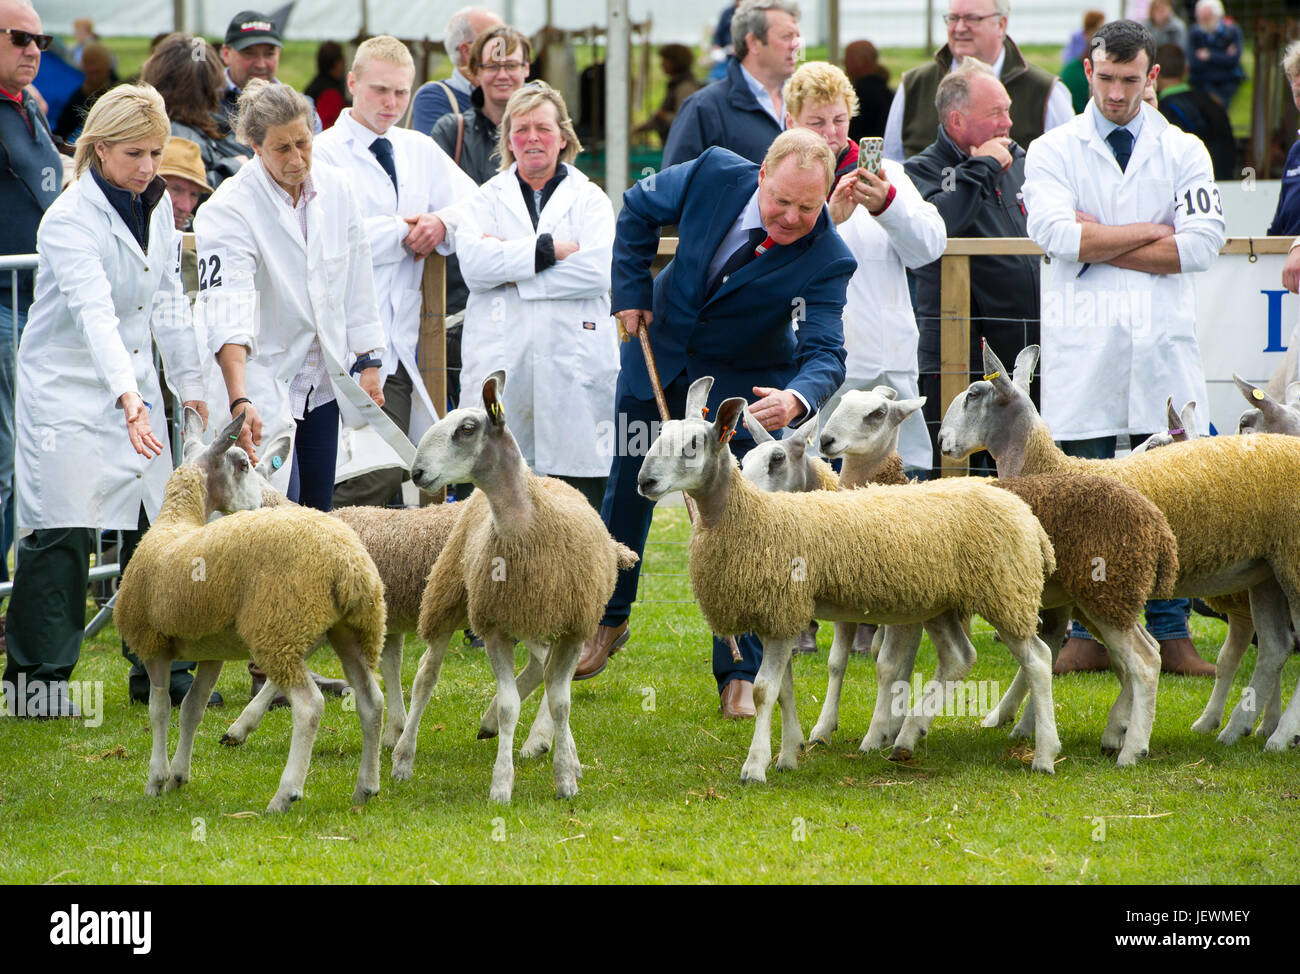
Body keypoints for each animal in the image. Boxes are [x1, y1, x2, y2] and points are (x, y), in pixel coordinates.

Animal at [114, 413, 384, 811]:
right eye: (243, 465)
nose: (259, 505)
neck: (176, 521)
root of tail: (346, 560)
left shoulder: (153, 645)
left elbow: (159, 709)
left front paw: (156, 779)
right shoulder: (210, 652)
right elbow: (191, 708)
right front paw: (178, 775)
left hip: (280, 628)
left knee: (310, 706)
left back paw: (285, 795)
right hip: (349, 630)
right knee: (371, 701)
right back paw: (365, 787)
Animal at [395, 369, 639, 801]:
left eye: (466, 429)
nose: (417, 474)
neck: (530, 523)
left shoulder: (574, 628)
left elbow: (561, 702)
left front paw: (566, 778)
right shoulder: (494, 627)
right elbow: (512, 705)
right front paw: (501, 784)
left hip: (536, 619)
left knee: (543, 669)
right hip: (448, 595)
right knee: (426, 675)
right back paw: (404, 758)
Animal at [634, 377, 1060, 780]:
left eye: (693, 444)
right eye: (659, 434)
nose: (645, 482)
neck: (753, 514)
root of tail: (1023, 512)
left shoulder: (783, 611)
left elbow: (764, 691)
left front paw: (755, 766)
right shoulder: (777, 616)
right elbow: (785, 690)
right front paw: (789, 754)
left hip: (1004, 592)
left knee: (1038, 660)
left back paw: (1043, 754)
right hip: (940, 604)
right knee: (960, 657)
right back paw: (908, 736)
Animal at [826, 384, 1185, 764]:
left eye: (877, 413)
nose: (826, 440)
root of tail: (1156, 522)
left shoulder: (911, 608)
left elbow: (889, 665)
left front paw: (876, 735)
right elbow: (887, 664)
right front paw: (879, 728)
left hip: (1103, 592)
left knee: (1142, 662)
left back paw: (1130, 749)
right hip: (1107, 599)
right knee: (1139, 655)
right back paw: (1115, 731)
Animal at [941, 345, 1300, 749]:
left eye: (973, 395)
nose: (941, 440)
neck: (1047, 467)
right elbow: (1083, 654)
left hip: (1288, 564)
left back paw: (1275, 733)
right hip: (1266, 573)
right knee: (1274, 647)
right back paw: (1241, 727)